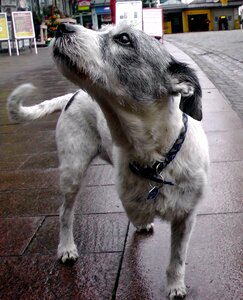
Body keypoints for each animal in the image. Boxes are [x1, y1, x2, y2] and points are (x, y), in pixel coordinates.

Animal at [7, 24, 209, 298]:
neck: (158, 156)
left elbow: (177, 258)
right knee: (65, 212)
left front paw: (175, 286)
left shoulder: (186, 216)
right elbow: (138, 212)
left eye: (124, 38)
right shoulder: (130, 197)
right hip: (72, 170)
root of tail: (71, 96)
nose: (62, 26)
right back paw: (66, 247)